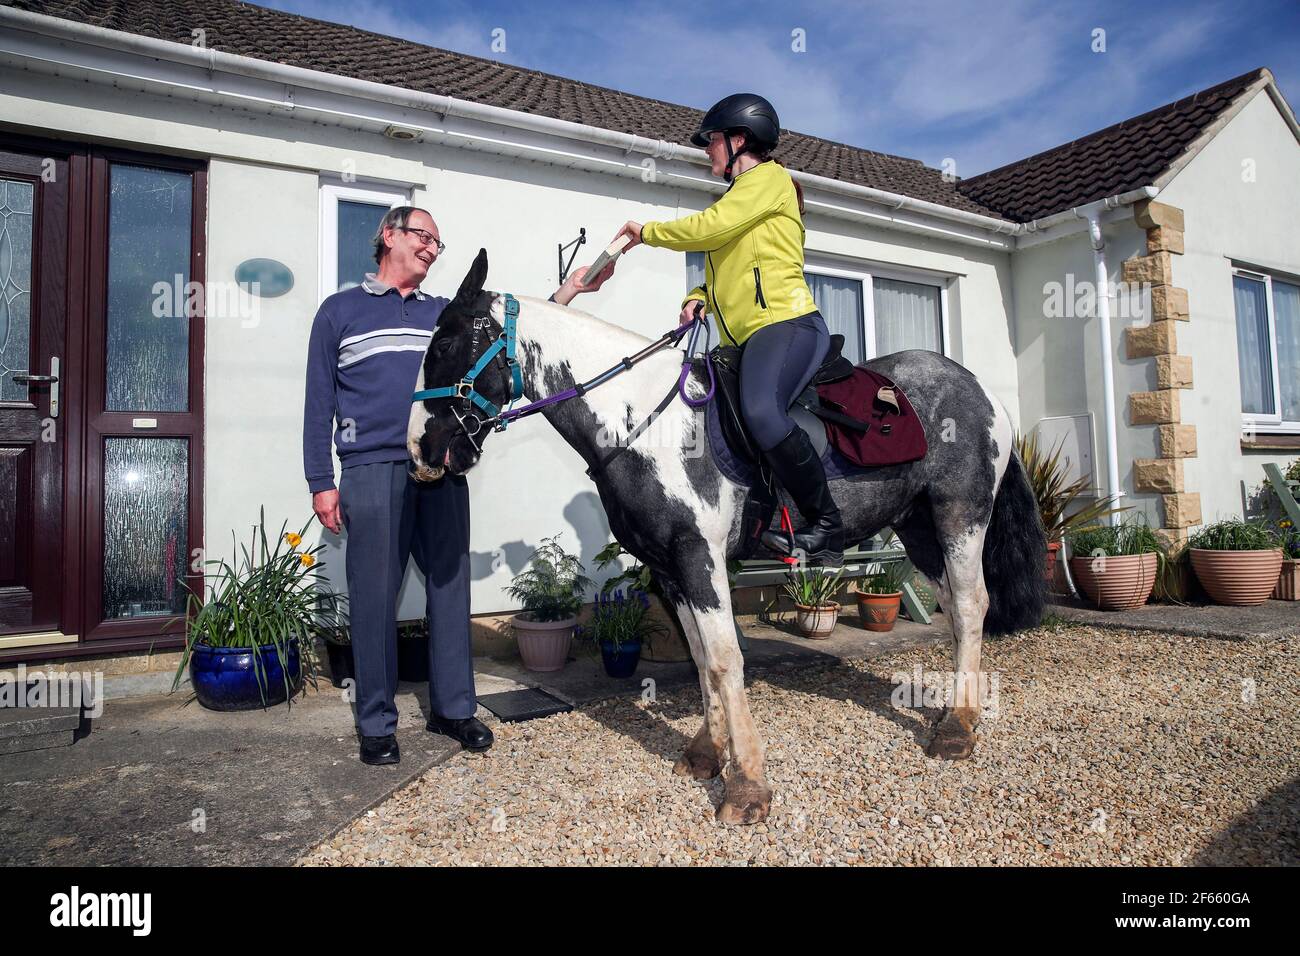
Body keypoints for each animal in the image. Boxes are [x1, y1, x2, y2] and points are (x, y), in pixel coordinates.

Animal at [413, 251, 1045, 827]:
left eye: (443, 345)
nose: (424, 450)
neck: (642, 421)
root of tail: (982, 391)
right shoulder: (667, 567)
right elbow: (699, 657)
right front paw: (705, 753)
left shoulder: (700, 557)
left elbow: (723, 658)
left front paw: (746, 788)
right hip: (918, 528)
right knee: (956, 609)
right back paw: (959, 713)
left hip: (960, 516)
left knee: (972, 603)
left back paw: (957, 730)